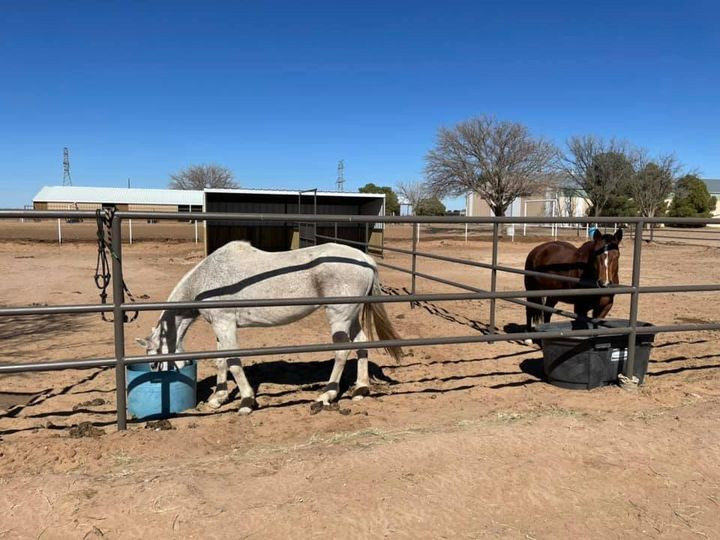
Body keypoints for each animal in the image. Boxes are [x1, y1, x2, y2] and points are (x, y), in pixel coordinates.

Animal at [135, 241, 402, 415]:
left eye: (154, 363)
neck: (207, 281)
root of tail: (366, 260)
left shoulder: (225, 324)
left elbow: (233, 361)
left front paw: (246, 401)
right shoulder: (220, 326)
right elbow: (221, 360)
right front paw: (218, 398)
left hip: (339, 316)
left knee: (341, 352)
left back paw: (326, 395)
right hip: (351, 315)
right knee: (361, 344)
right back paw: (361, 389)